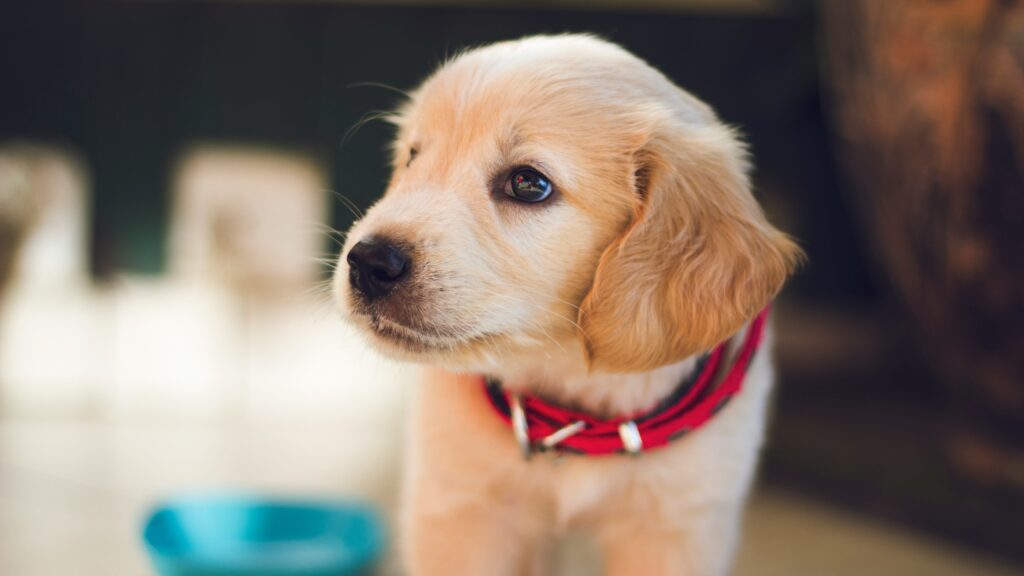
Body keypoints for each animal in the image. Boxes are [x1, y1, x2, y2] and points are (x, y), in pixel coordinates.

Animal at [333, 33, 798, 569]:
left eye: (528, 184)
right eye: (412, 156)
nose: (367, 262)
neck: (574, 404)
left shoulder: (679, 525)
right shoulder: (460, 508)